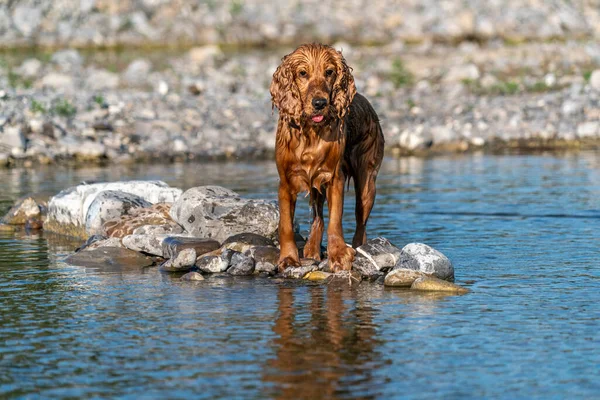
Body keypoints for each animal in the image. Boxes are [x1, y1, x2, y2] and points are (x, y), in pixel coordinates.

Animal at [270, 43, 384, 272]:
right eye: (302, 73)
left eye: (329, 72)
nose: (320, 103)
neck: (311, 132)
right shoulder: (286, 182)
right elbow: (286, 224)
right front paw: (288, 258)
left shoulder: (333, 178)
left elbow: (335, 220)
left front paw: (339, 255)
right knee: (318, 217)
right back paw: (312, 250)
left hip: (367, 183)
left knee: (360, 223)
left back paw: (359, 249)